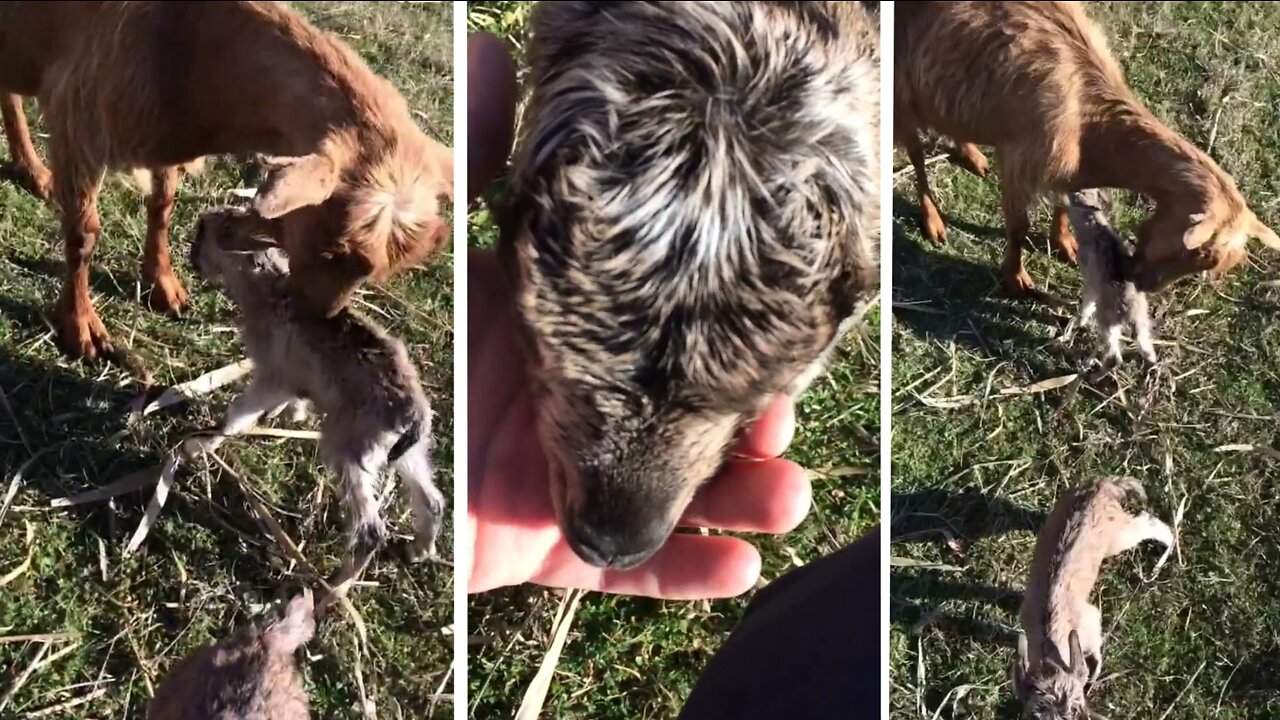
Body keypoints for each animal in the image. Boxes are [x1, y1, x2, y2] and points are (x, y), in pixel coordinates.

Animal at [183, 204, 445, 573]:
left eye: (204, 230)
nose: (191, 257)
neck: (264, 285)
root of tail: (414, 417)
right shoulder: (292, 380)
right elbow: (292, 400)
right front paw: (293, 416)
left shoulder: (272, 376)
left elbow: (237, 416)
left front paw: (199, 447)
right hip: (407, 454)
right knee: (432, 500)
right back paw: (419, 551)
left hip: (350, 451)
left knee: (371, 531)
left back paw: (331, 586)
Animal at [1013, 476, 1172, 717]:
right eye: (1035, 715)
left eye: (1076, 709)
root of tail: (1102, 484)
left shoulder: (1092, 620)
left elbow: (1096, 652)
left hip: (1118, 537)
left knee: (1149, 521)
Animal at [1059, 188, 1162, 366]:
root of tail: (1130, 313)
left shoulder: (1091, 281)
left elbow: (1087, 304)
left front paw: (1080, 321)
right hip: (1141, 322)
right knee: (1147, 349)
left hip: (1107, 320)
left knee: (1114, 355)